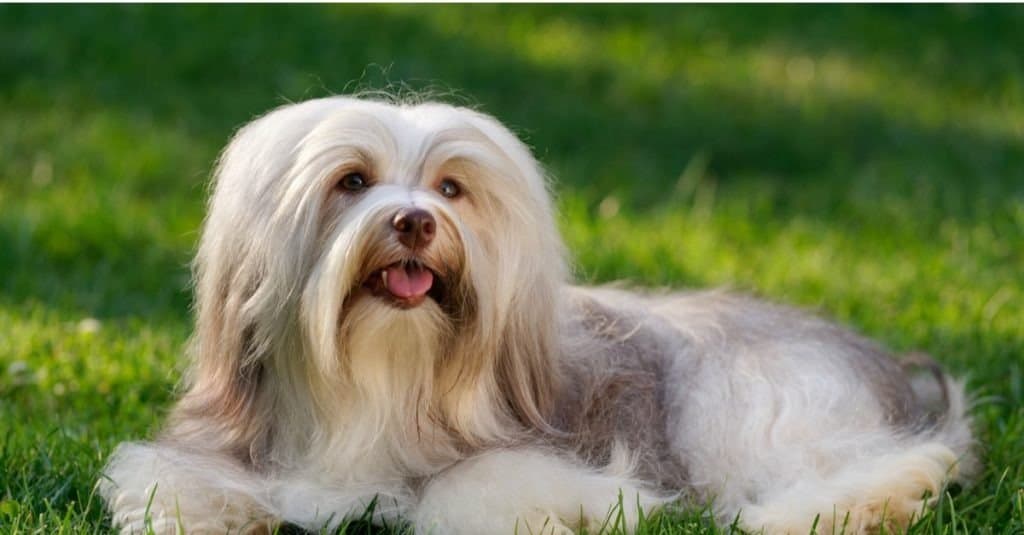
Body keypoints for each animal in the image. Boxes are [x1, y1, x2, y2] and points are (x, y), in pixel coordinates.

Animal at [99, 96, 978, 532]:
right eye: (353, 180)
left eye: (451, 188)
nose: (415, 220)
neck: (382, 378)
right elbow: (164, 480)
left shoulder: (541, 457)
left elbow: (464, 492)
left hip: (745, 400)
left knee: (878, 463)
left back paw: (850, 505)